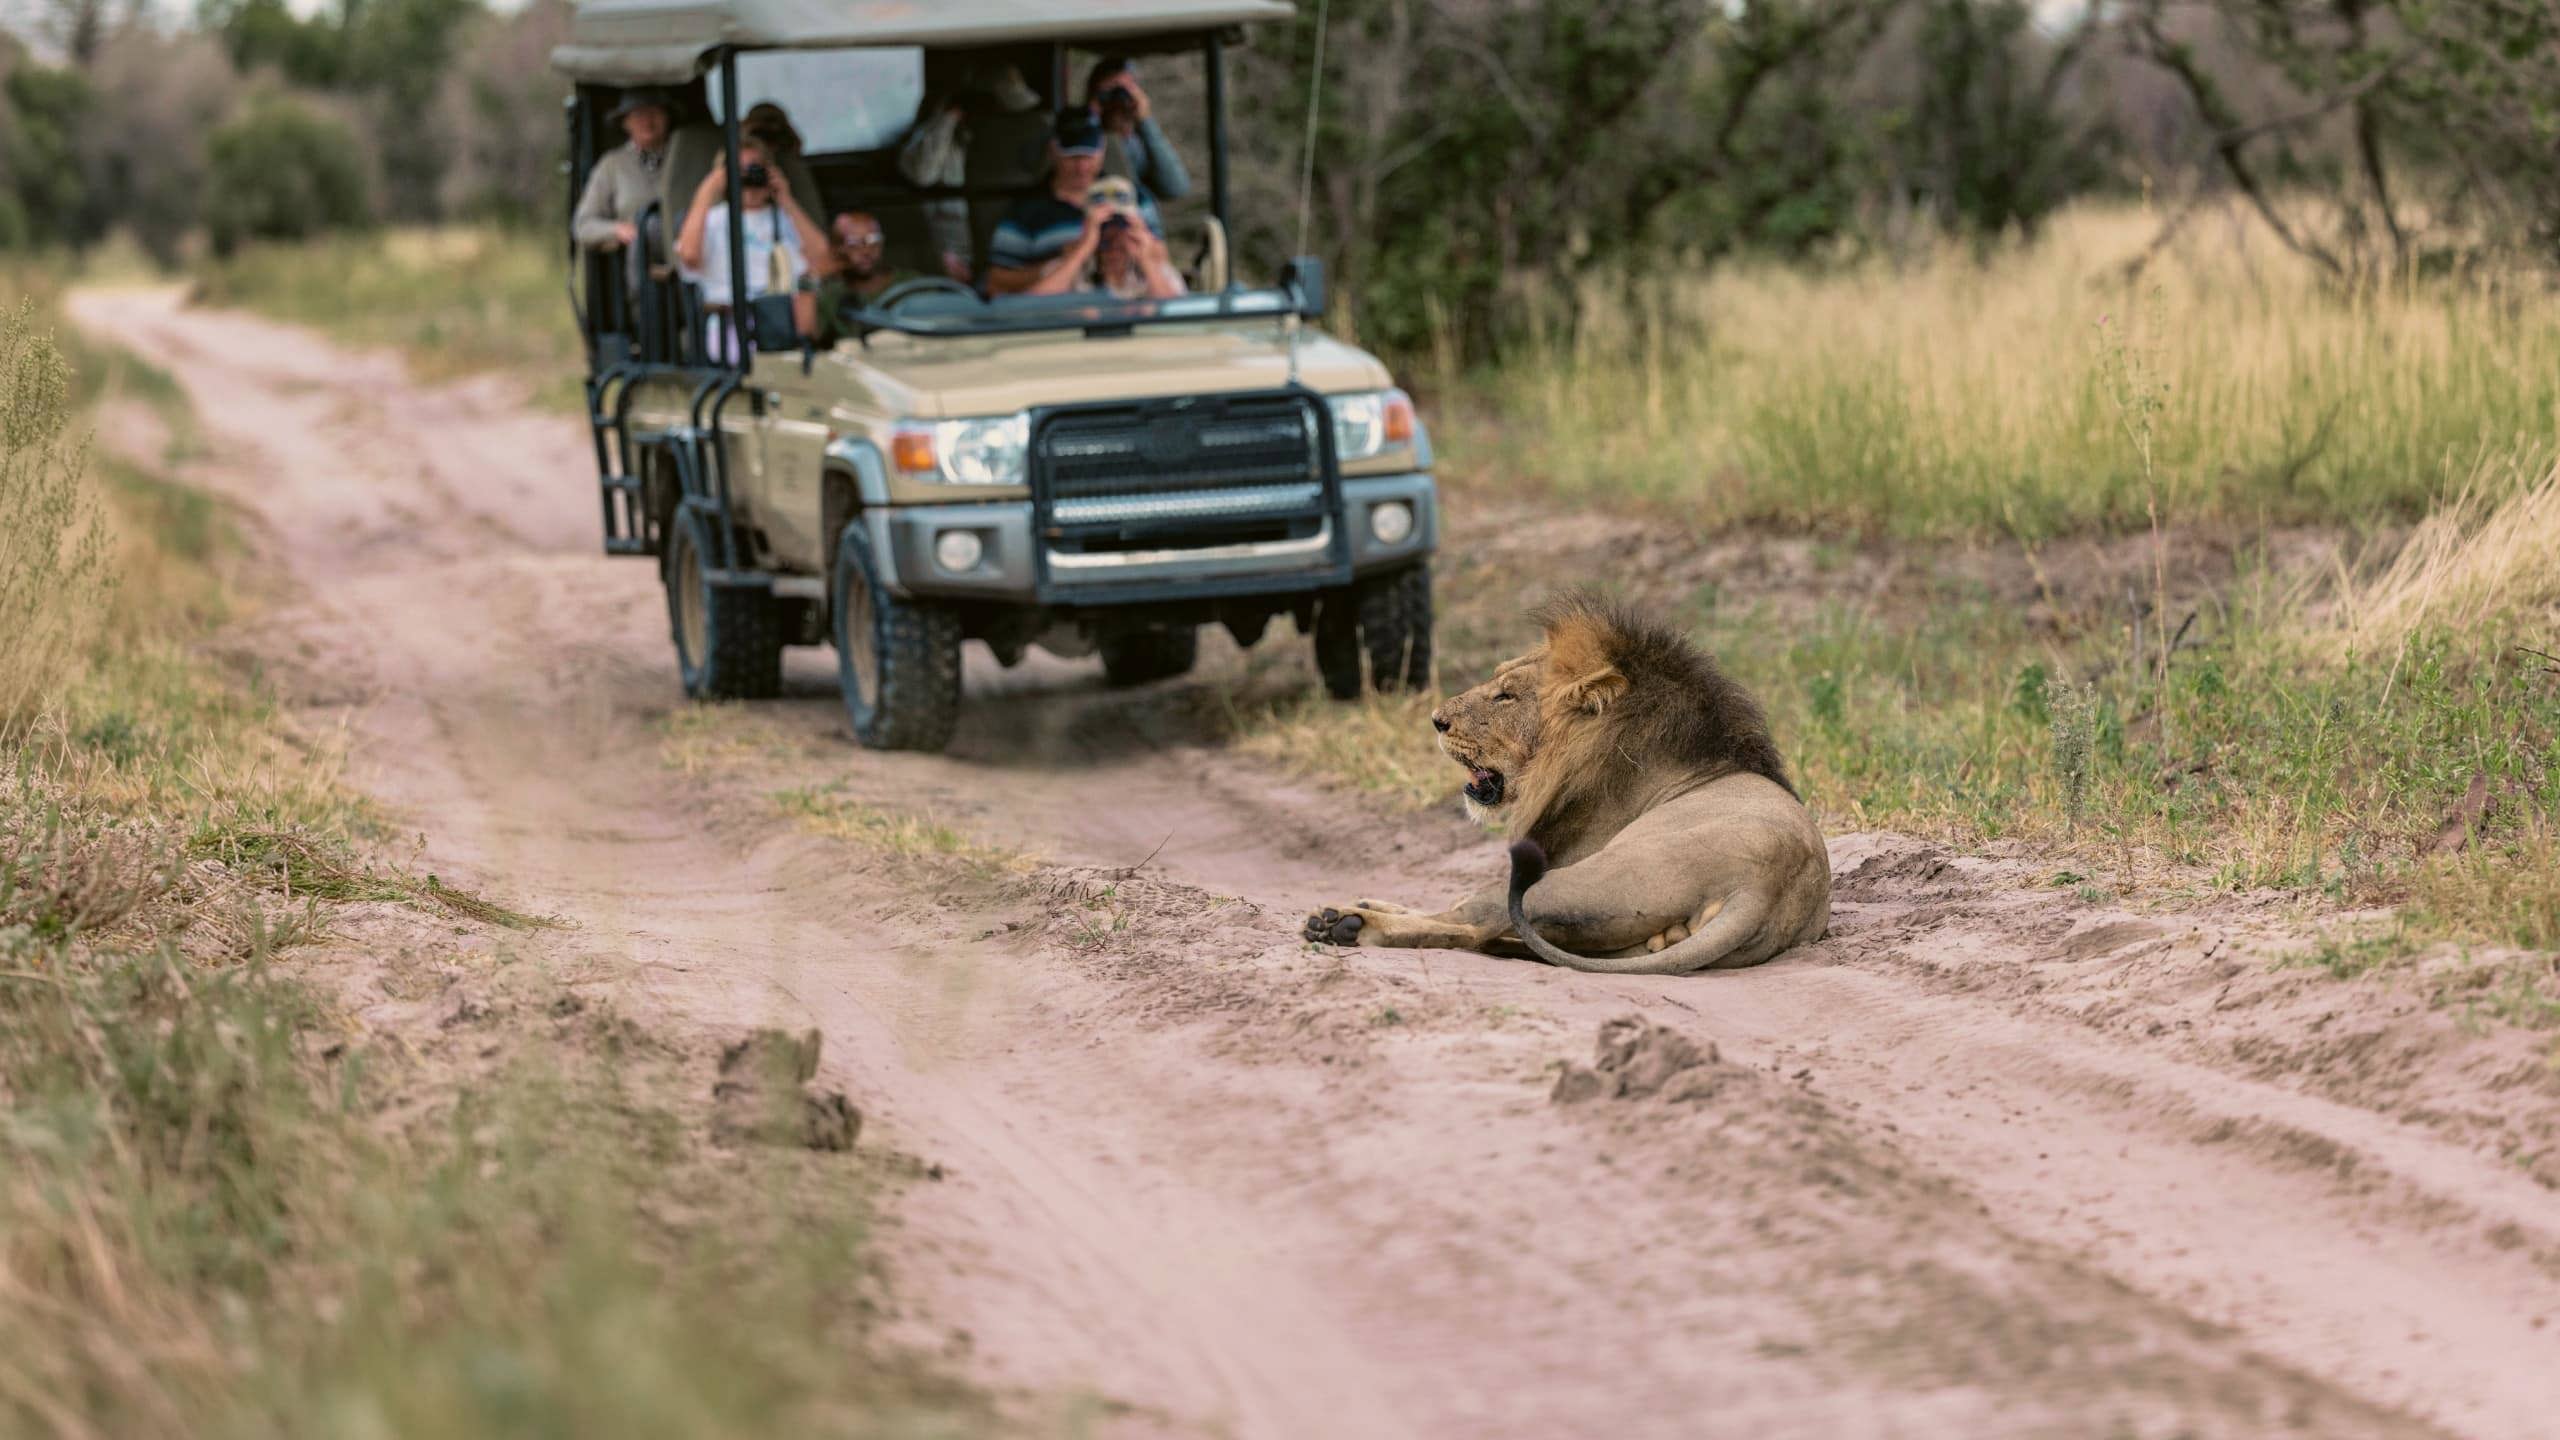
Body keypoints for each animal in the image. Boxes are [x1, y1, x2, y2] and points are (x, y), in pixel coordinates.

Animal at [1300, 593, 1829, 974]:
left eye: (1506, 696)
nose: (1436, 720)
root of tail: (1762, 889)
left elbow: (1459, 910)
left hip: (1573, 881)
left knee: (1473, 921)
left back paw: (1347, 923)